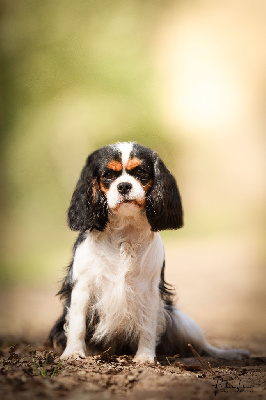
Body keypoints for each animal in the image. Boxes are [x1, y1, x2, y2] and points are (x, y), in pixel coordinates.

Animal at [48, 143, 249, 362]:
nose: (124, 186)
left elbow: (148, 326)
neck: (125, 231)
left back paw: (231, 353)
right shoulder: (83, 286)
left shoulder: (149, 289)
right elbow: (77, 324)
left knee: (204, 345)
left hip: (181, 321)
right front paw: (73, 353)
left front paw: (145, 357)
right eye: (108, 175)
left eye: (140, 172)